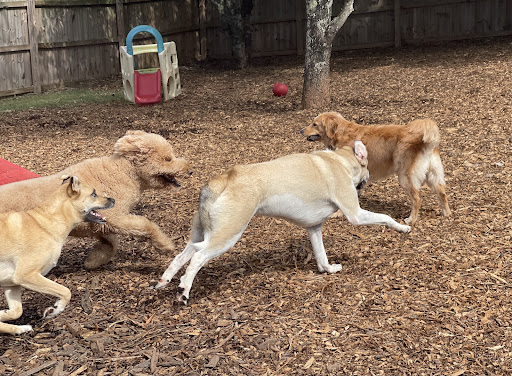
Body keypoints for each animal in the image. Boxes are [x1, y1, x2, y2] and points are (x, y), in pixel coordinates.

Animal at [0, 131, 191, 268]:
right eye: (168, 159)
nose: (189, 170)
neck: (123, 171)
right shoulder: (116, 217)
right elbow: (145, 225)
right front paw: (165, 245)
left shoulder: (100, 224)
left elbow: (111, 243)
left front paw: (93, 260)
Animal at [0, 176, 114, 334]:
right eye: (94, 193)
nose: (113, 199)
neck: (45, 223)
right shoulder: (26, 275)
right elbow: (66, 291)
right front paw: (55, 309)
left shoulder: (11, 284)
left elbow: (16, 311)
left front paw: (3, 314)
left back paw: (19, 329)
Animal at [154, 142, 410, 304]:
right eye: (367, 168)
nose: (367, 180)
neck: (339, 161)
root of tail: (223, 179)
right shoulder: (355, 214)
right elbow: (386, 218)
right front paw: (403, 227)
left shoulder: (314, 229)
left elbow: (321, 256)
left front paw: (328, 269)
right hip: (227, 235)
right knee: (197, 257)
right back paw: (184, 290)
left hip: (202, 232)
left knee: (183, 254)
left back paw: (165, 280)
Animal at [302, 111, 450, 223]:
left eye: (314, 124)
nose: (300, 130)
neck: (341, 133)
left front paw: (338, 213)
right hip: (432, 175)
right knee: (442, 192)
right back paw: (446, 213)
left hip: (405, 177)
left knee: (417, 199)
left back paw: (411, 220)